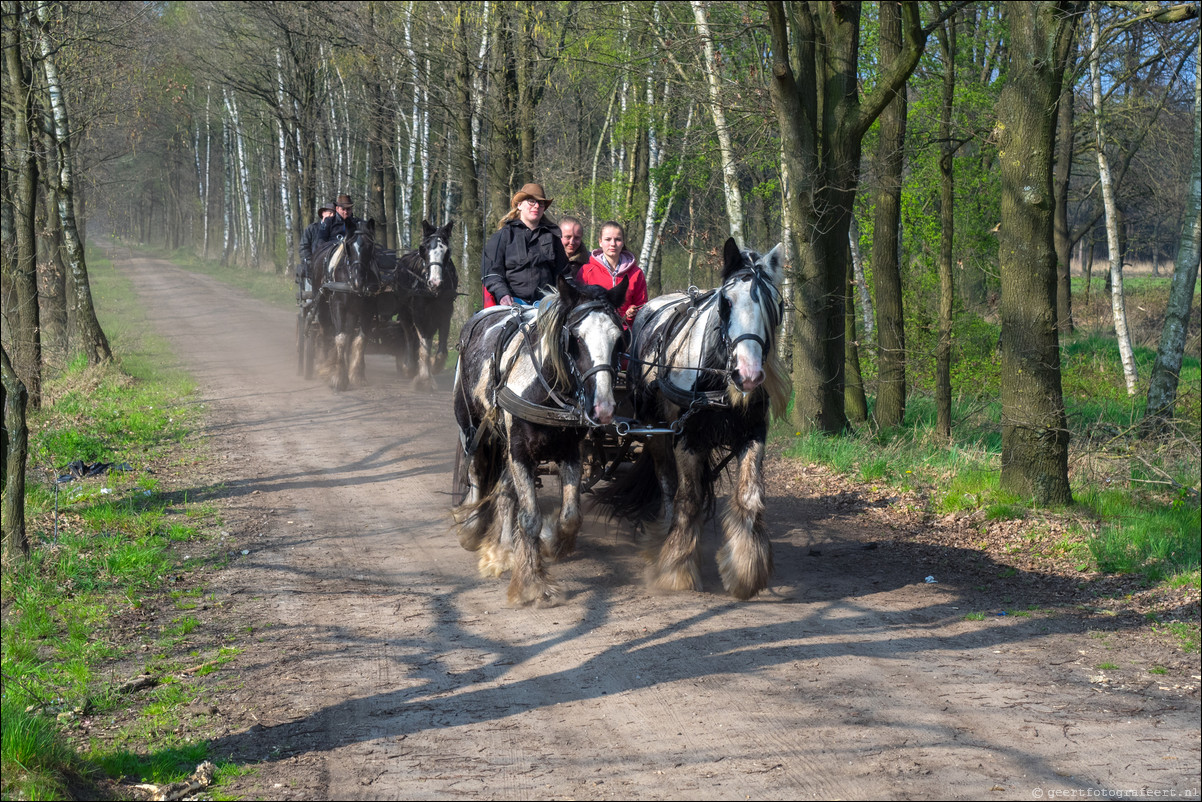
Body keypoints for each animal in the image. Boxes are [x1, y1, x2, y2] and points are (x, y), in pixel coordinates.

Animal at [312, 221, 377, 394]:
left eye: (370, 245)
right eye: (348, 245)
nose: (358, 281)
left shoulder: (368, 310)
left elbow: (360, 339)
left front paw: (357, 375)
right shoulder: (337, 306)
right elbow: (340, 338)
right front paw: (338, 378)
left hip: (352, 312)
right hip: (322, 305)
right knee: (324, 332)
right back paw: (322, 364)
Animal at [391, 221, 456, 389]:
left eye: (447, 251)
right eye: (424, 249)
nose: (435, 283)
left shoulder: (446, 311)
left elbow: (441, 349)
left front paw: (434, 366)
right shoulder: (419, 312)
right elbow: (424, 346)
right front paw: (424, 379)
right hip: (405, 311)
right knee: (408, 335)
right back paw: (409, 366)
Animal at [451, 276, 629, 608]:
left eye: (618, 338)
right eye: (575, 338)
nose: (604, 408)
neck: (544, 389)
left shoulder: (569, 452)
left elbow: (570, 516)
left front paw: (550, 542)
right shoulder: (520, 452)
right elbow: (529, 517)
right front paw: (532, 584)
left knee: (505, 491)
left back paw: (502, 551)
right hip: (473, 427)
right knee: (476, 473)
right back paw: (471, 527)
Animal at [601, 238, 788, 601]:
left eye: (776, 305)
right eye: (726, 302)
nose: (748, 375)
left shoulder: (753, 433)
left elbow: (749, 495)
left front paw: (746, 568)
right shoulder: (686, 437)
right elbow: (686, 498)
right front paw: (676, 567)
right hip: (655, 432)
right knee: (667, 483)